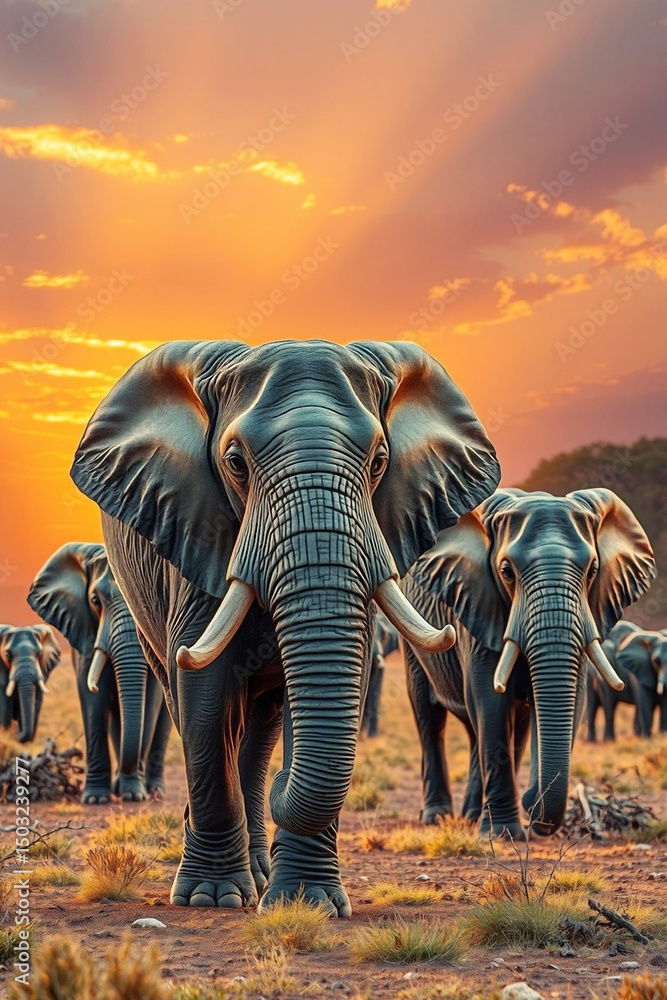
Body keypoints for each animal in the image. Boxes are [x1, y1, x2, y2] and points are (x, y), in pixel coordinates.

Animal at [28, 542, 172, 804]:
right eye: (95, 601)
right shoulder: (84, 632)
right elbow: (93, 700)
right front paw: (95, 799)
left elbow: (151, 701)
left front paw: (134, 795)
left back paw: (154, 790)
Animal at [69, 338, 500, 914]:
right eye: (235, 463)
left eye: (379, 461)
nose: (282, 783)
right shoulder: (199, 533)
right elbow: (205, 699)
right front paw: (212, 898)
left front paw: (308, 902)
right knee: (190, 702)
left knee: (262, 724)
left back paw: (260, 862)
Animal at [401, 488, 655, 838]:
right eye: (507, 571)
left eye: (592, 570)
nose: (530, 800)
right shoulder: (479, 606)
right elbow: (490, 703)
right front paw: (501, 834)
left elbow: (569, 700)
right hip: (415, 640)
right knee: (430, 717)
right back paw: (437, 818)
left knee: (489, 729)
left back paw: (471, 816)